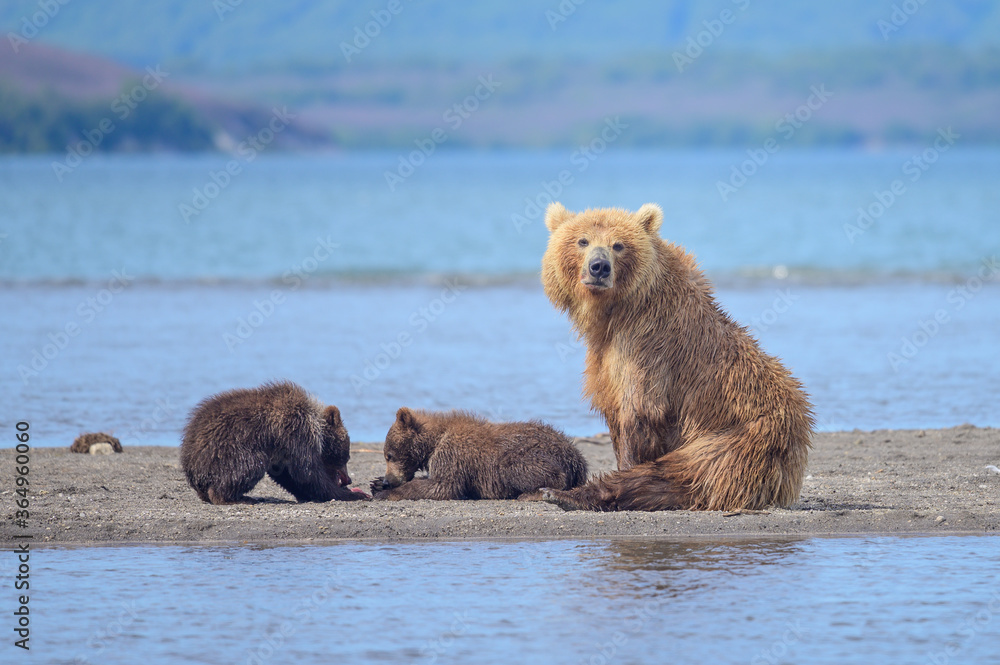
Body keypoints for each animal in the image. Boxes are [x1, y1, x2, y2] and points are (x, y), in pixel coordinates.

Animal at [180, 381, 369, 505]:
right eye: (346, 456)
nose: (349, 480)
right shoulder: (297, 431)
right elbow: (307, 472)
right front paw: (351, 494)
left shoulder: (283, 451)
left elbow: (289, 475)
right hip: (228, 449)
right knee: (248, 465)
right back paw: (237, 498)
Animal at [370, 408, 588, 501]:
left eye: (389, 455)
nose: (388, 480)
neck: (434, 441)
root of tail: (576, 457)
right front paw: (376, 484)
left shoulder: (453, 455)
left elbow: (442, 486)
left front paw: (385, 492)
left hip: (526, 454)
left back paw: (530, 493)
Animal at [523, 202, 814, 512]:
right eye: (583, 241)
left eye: (618, 245)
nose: (599, 267)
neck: (618, 311)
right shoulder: (605, 358)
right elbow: (613, 405)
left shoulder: (648, 346)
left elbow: (639, 412)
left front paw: (624, 464)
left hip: (739, 441)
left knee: (679, 472)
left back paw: (567, 494)